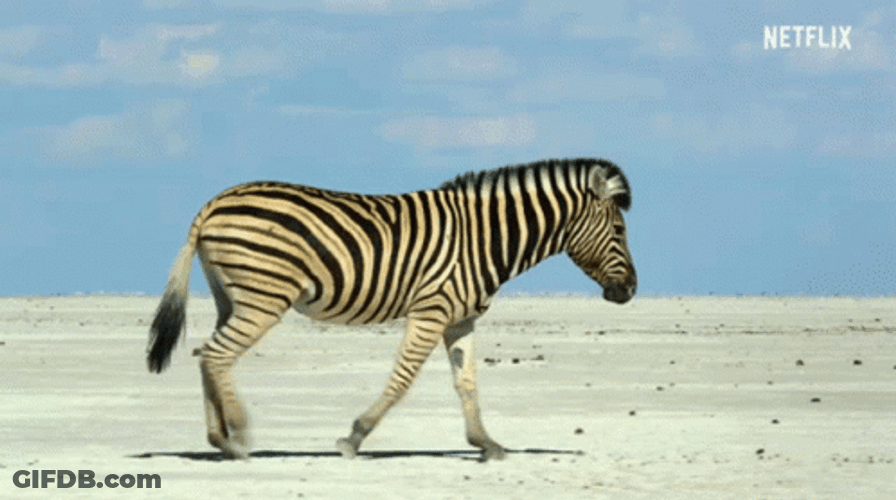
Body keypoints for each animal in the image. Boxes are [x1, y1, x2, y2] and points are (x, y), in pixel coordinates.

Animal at [147, 157, 636, 461]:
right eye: (618, 230)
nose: (630, 291)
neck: (484, 238)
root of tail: (213, 204)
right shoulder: (431, 309)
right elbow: (402, 380)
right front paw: (354, 437)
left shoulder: (461, 318)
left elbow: (467, 382)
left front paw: (485, 443)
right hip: (264, 296)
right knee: (217, 355)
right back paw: (239, 437)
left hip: (232, 296)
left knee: (208, 354)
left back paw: (219, 438)